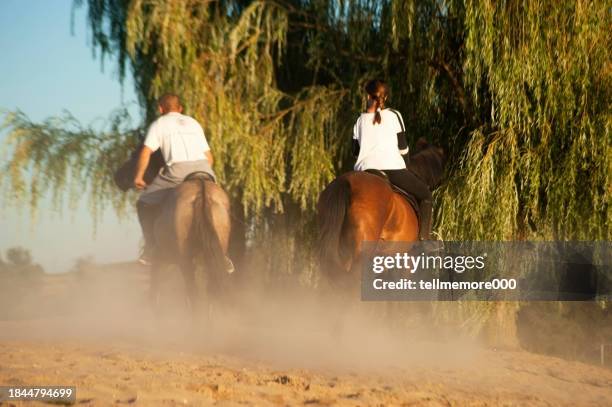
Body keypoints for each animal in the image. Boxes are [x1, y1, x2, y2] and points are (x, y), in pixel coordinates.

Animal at [113, 145, 231, 314]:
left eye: (135, 155)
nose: (117, 177)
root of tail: (200, 191)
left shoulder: (159, 263)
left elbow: (155, 295)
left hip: (185, 261)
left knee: (194, 296)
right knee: (207, 295)